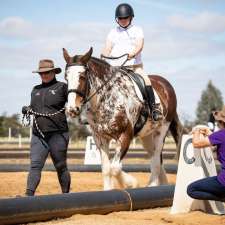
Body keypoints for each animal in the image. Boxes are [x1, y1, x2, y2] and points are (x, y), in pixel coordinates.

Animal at [62, 47, 184, 190]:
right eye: (66, 77)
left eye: (82, 76)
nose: (72, 109)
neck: (107, 98)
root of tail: (165, 84)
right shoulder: (100, 138)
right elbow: (106, 168)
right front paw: (109, 189)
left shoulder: (126, 135)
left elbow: (115, 168)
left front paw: (132, 183)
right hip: (147, 136)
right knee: (157, 157)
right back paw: (161, 184)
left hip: (161, 130)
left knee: (155, 159)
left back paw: (152, 185)